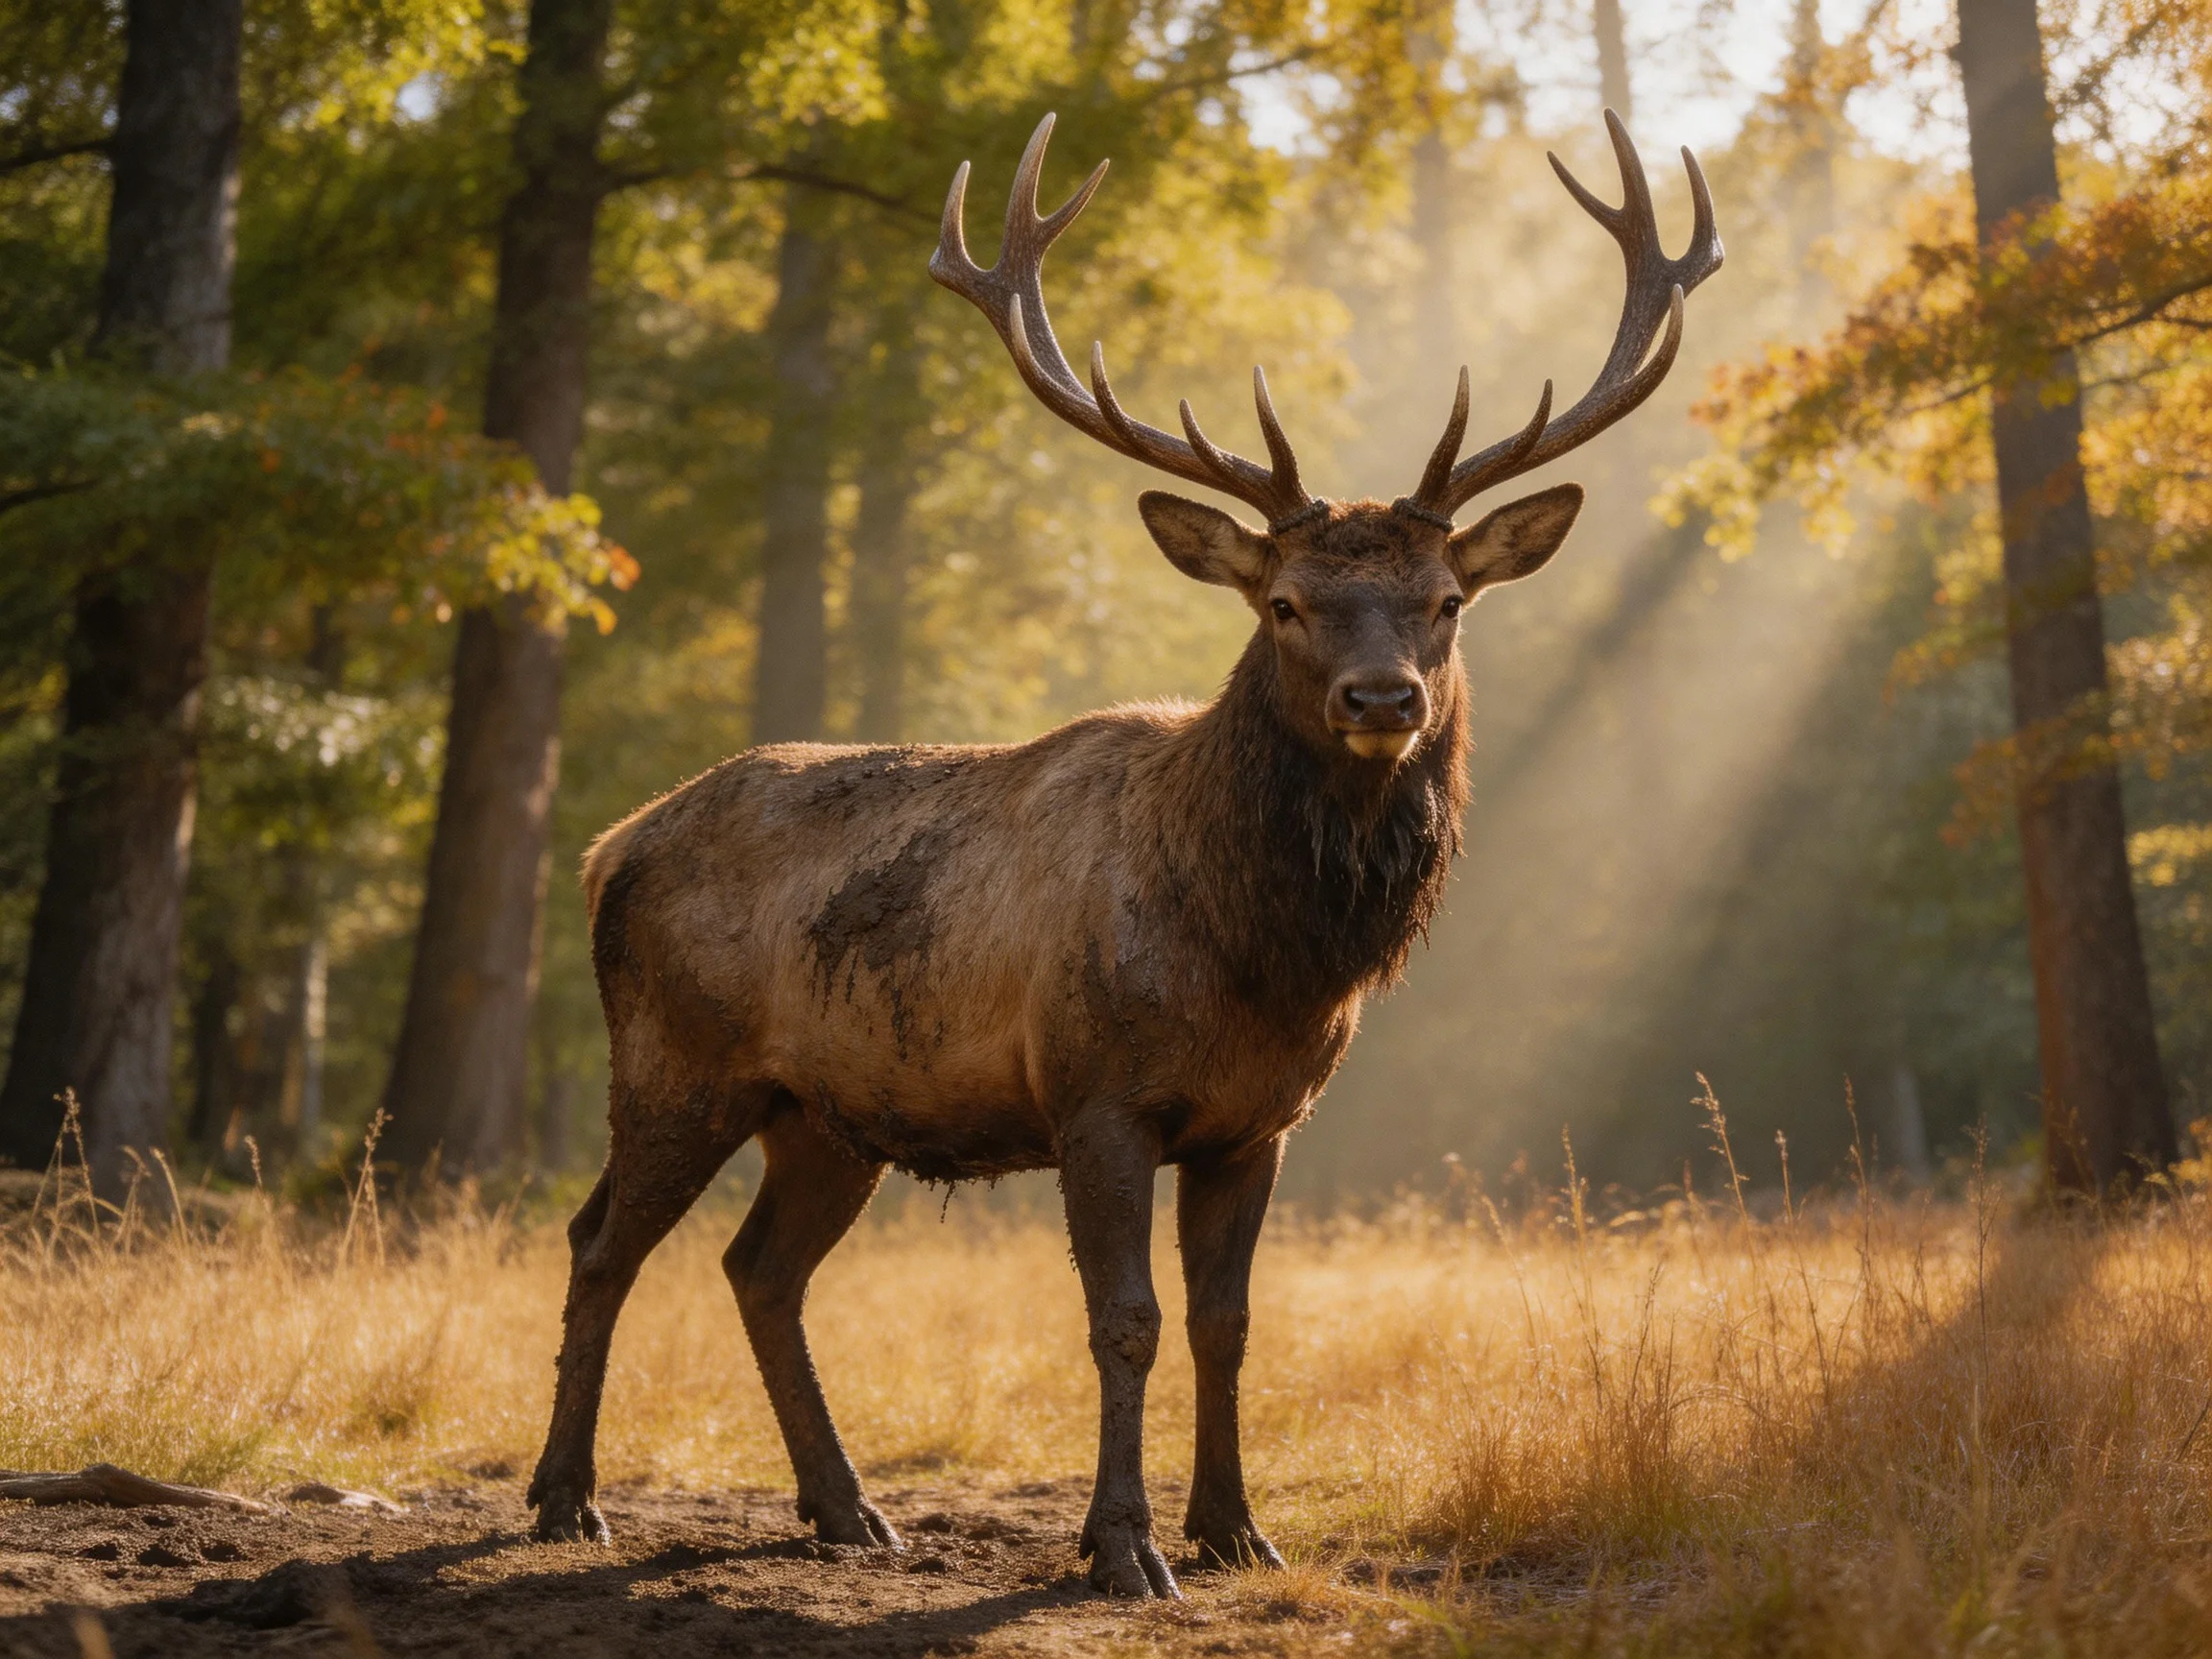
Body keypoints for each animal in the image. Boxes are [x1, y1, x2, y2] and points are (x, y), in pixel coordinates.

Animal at [527, 110, 1720, 1597]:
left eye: (1446, 601)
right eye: (1285, 602)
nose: (1382, 698)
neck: (1262, 962)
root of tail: (609, 845)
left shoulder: (1261, 1121)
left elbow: (1228, 1320)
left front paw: (1237, 1529)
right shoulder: (1095, 1092)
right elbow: (1127, 1318)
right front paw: (1123, 1545)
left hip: (828, 1110)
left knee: (760, 1268)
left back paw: (849, 1510)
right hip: (675, 1059)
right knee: (600, 1242)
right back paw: (567, 1498)